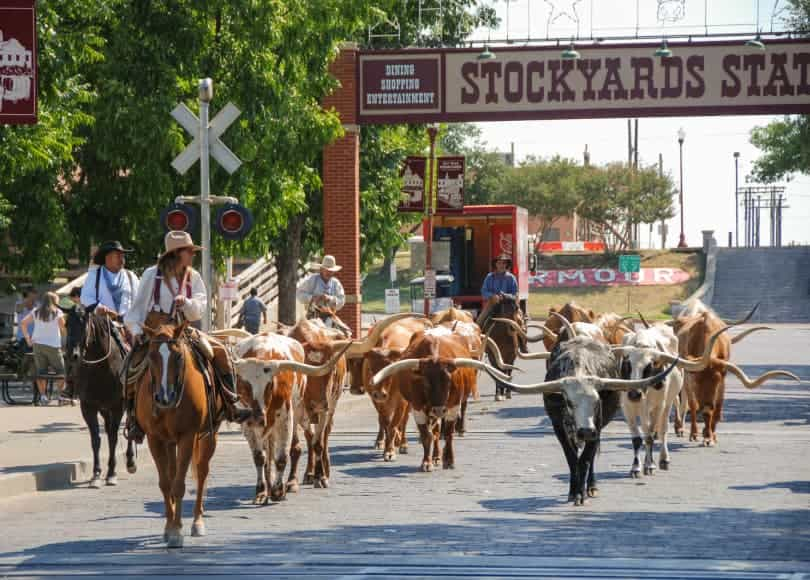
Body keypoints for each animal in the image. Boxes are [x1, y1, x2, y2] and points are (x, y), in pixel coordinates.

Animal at [73, 310, 137, 488]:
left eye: (84, 325)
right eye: (67, 324)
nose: (72, 355)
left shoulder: (117, 406)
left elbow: (113, 438)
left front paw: (111, 473)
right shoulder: (88, 406)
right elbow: (96, 439)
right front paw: (96, 474)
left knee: (129, 427)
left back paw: (130, 461)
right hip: (104, 409)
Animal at [137, 320, 221, 548]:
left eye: (178, 356)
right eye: (151, 356)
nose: (164, 397)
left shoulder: (187, 436)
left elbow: (179, 485)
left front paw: (176, 531)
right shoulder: (155, 439)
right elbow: (166, 483)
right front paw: (170, 527)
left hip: (208, 437)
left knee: (201, 473)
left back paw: (197, 521)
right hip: (170, 442)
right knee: (174, 472)